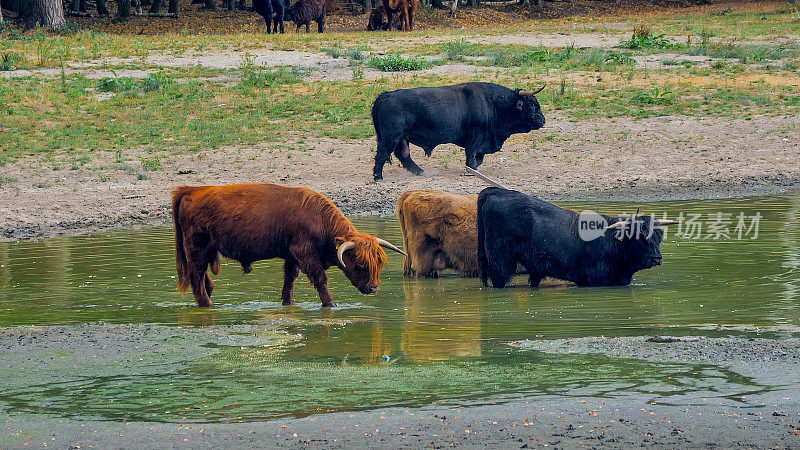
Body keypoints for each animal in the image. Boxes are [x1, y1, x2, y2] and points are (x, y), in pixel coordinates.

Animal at [172, 182, 404, 306]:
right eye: (361, 263)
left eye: (379, 264)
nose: (373, 288)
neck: (318, 218)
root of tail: (191, 190)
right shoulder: (305, 254)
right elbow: (320, 279)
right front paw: (331, 303)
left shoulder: (291, 257)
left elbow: (289, 281)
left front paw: (288, 303)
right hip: (198, 249)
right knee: (196, 276)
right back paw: (207, 304)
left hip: (206, 251)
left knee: (203, 278)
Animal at [372, 81, 548, 180]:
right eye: (532, 105)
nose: (543, 119)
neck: (494, 102)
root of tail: (385, 96)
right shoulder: (476, 136)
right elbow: (471, 154)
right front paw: (472, 168)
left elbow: (479, 156)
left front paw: (475, 166)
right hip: (391, 138)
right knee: (382, 154)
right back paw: (378, 177)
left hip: (401, 138)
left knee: (403, 155)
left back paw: (421, 172)